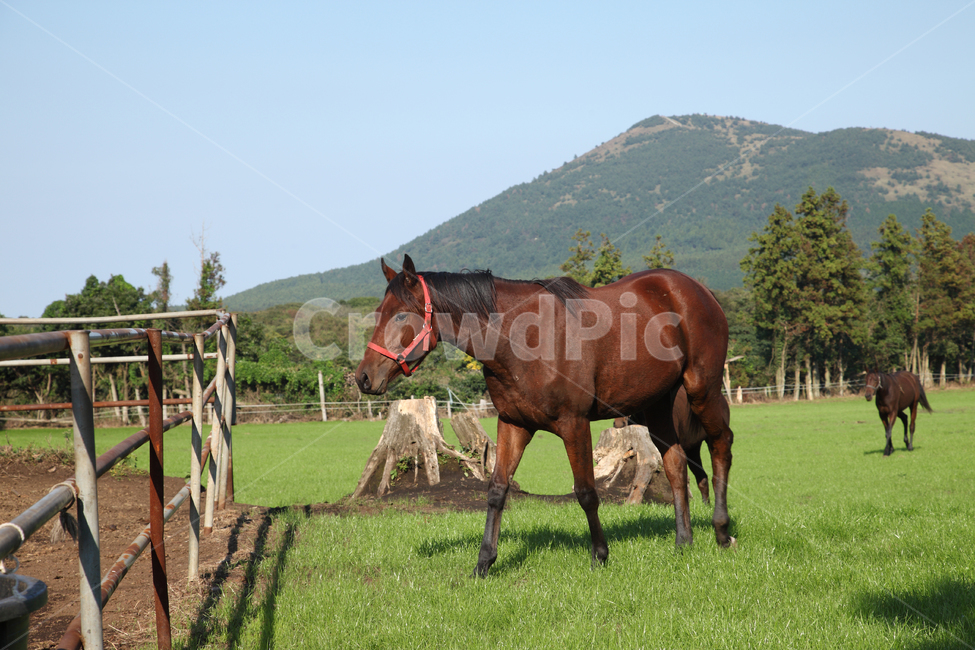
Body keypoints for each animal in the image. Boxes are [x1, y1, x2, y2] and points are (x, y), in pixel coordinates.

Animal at [356, 255, 735, 576]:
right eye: (379, 312)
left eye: (400, 315)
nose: (363, 377)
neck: (523, 339)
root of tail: (697, 290)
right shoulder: (514, 424)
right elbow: (497, 490)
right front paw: (484, 562)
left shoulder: (574, 424)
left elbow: (586, 492)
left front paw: (600, 555)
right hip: (657, 405)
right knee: (675, 464)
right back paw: (683, 542)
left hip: (702, 391)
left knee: (721, 445)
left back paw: (722, 531)